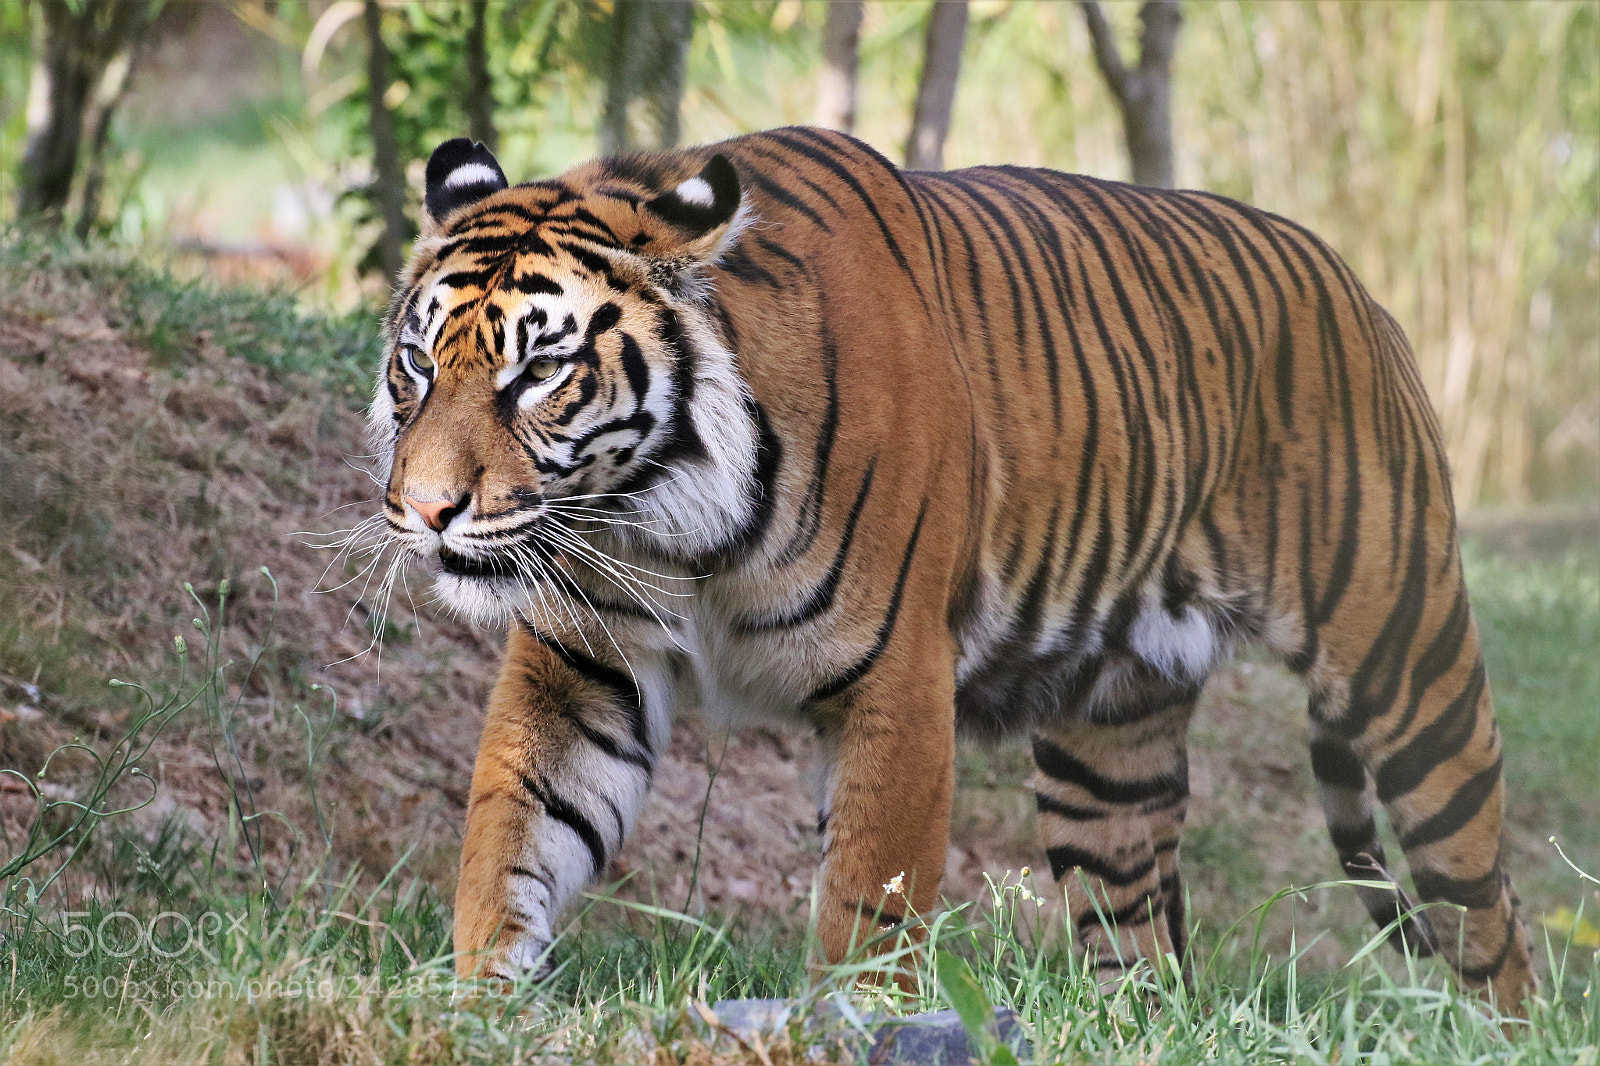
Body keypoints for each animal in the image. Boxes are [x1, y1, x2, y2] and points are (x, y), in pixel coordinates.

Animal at [368, 126, 1534, 1007]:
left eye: (537, 373)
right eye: (417, 363)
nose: (424, 510)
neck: (663, 517)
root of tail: (1353, 284)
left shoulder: (896, 677)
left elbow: (868, 892)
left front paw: (849, 1021)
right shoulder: (583, 662)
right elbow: (515, 832)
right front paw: (480, 1002)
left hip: (1405, 669)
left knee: (1487, 906)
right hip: (1109, 743)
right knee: (1140, 937)